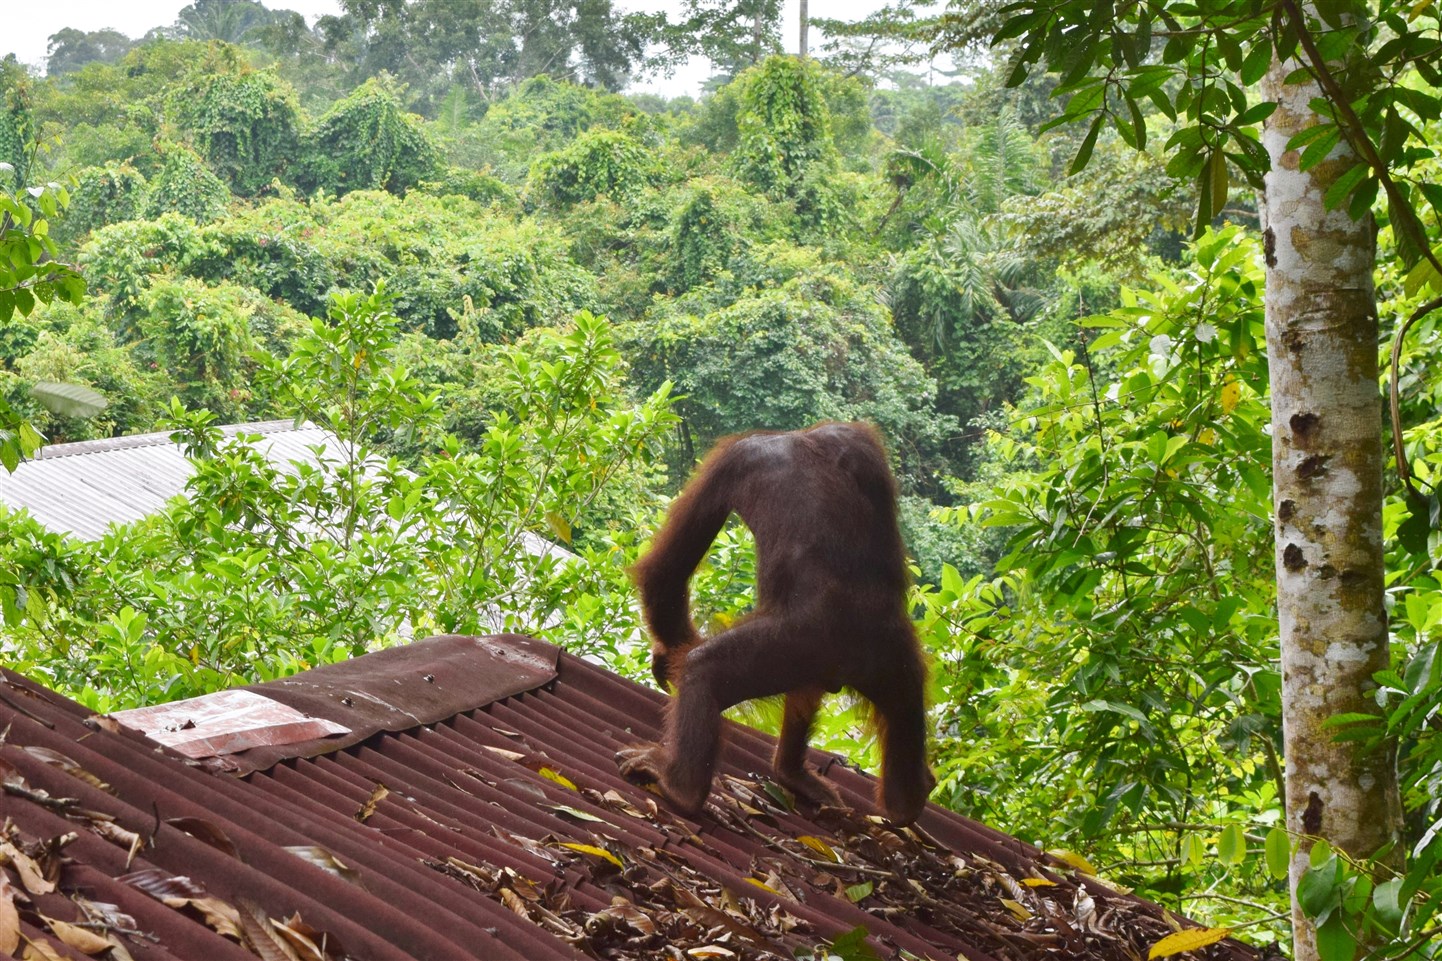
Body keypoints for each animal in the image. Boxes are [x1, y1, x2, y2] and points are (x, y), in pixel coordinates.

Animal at [616, 421, 936, 826]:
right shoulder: (858, 443)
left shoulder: (732, 458)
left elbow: (666, 570)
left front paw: (671, 651)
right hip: (894, 663)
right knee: (897, 716)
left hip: (795, 645)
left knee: (705, 669)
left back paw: (680, 787)